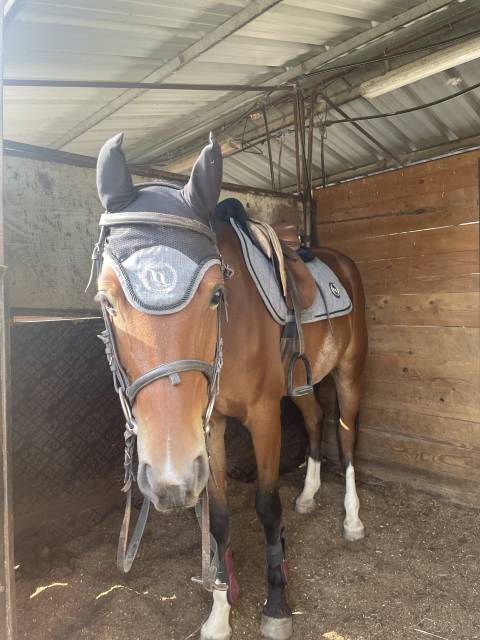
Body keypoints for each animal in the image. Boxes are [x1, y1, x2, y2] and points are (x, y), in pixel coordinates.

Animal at [93, 132, 367, 640]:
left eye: (217, 294)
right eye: (106, 299)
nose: (168, 479)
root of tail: (340, 259)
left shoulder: (262, 415)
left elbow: (266, 506)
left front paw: (276, 606)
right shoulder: (210, 426)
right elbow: (218, 518)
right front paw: (219, 612)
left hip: (350, 371)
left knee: (346, 434)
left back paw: (353, 519)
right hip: (301, 385)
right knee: (316, 421)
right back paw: (308, 496)